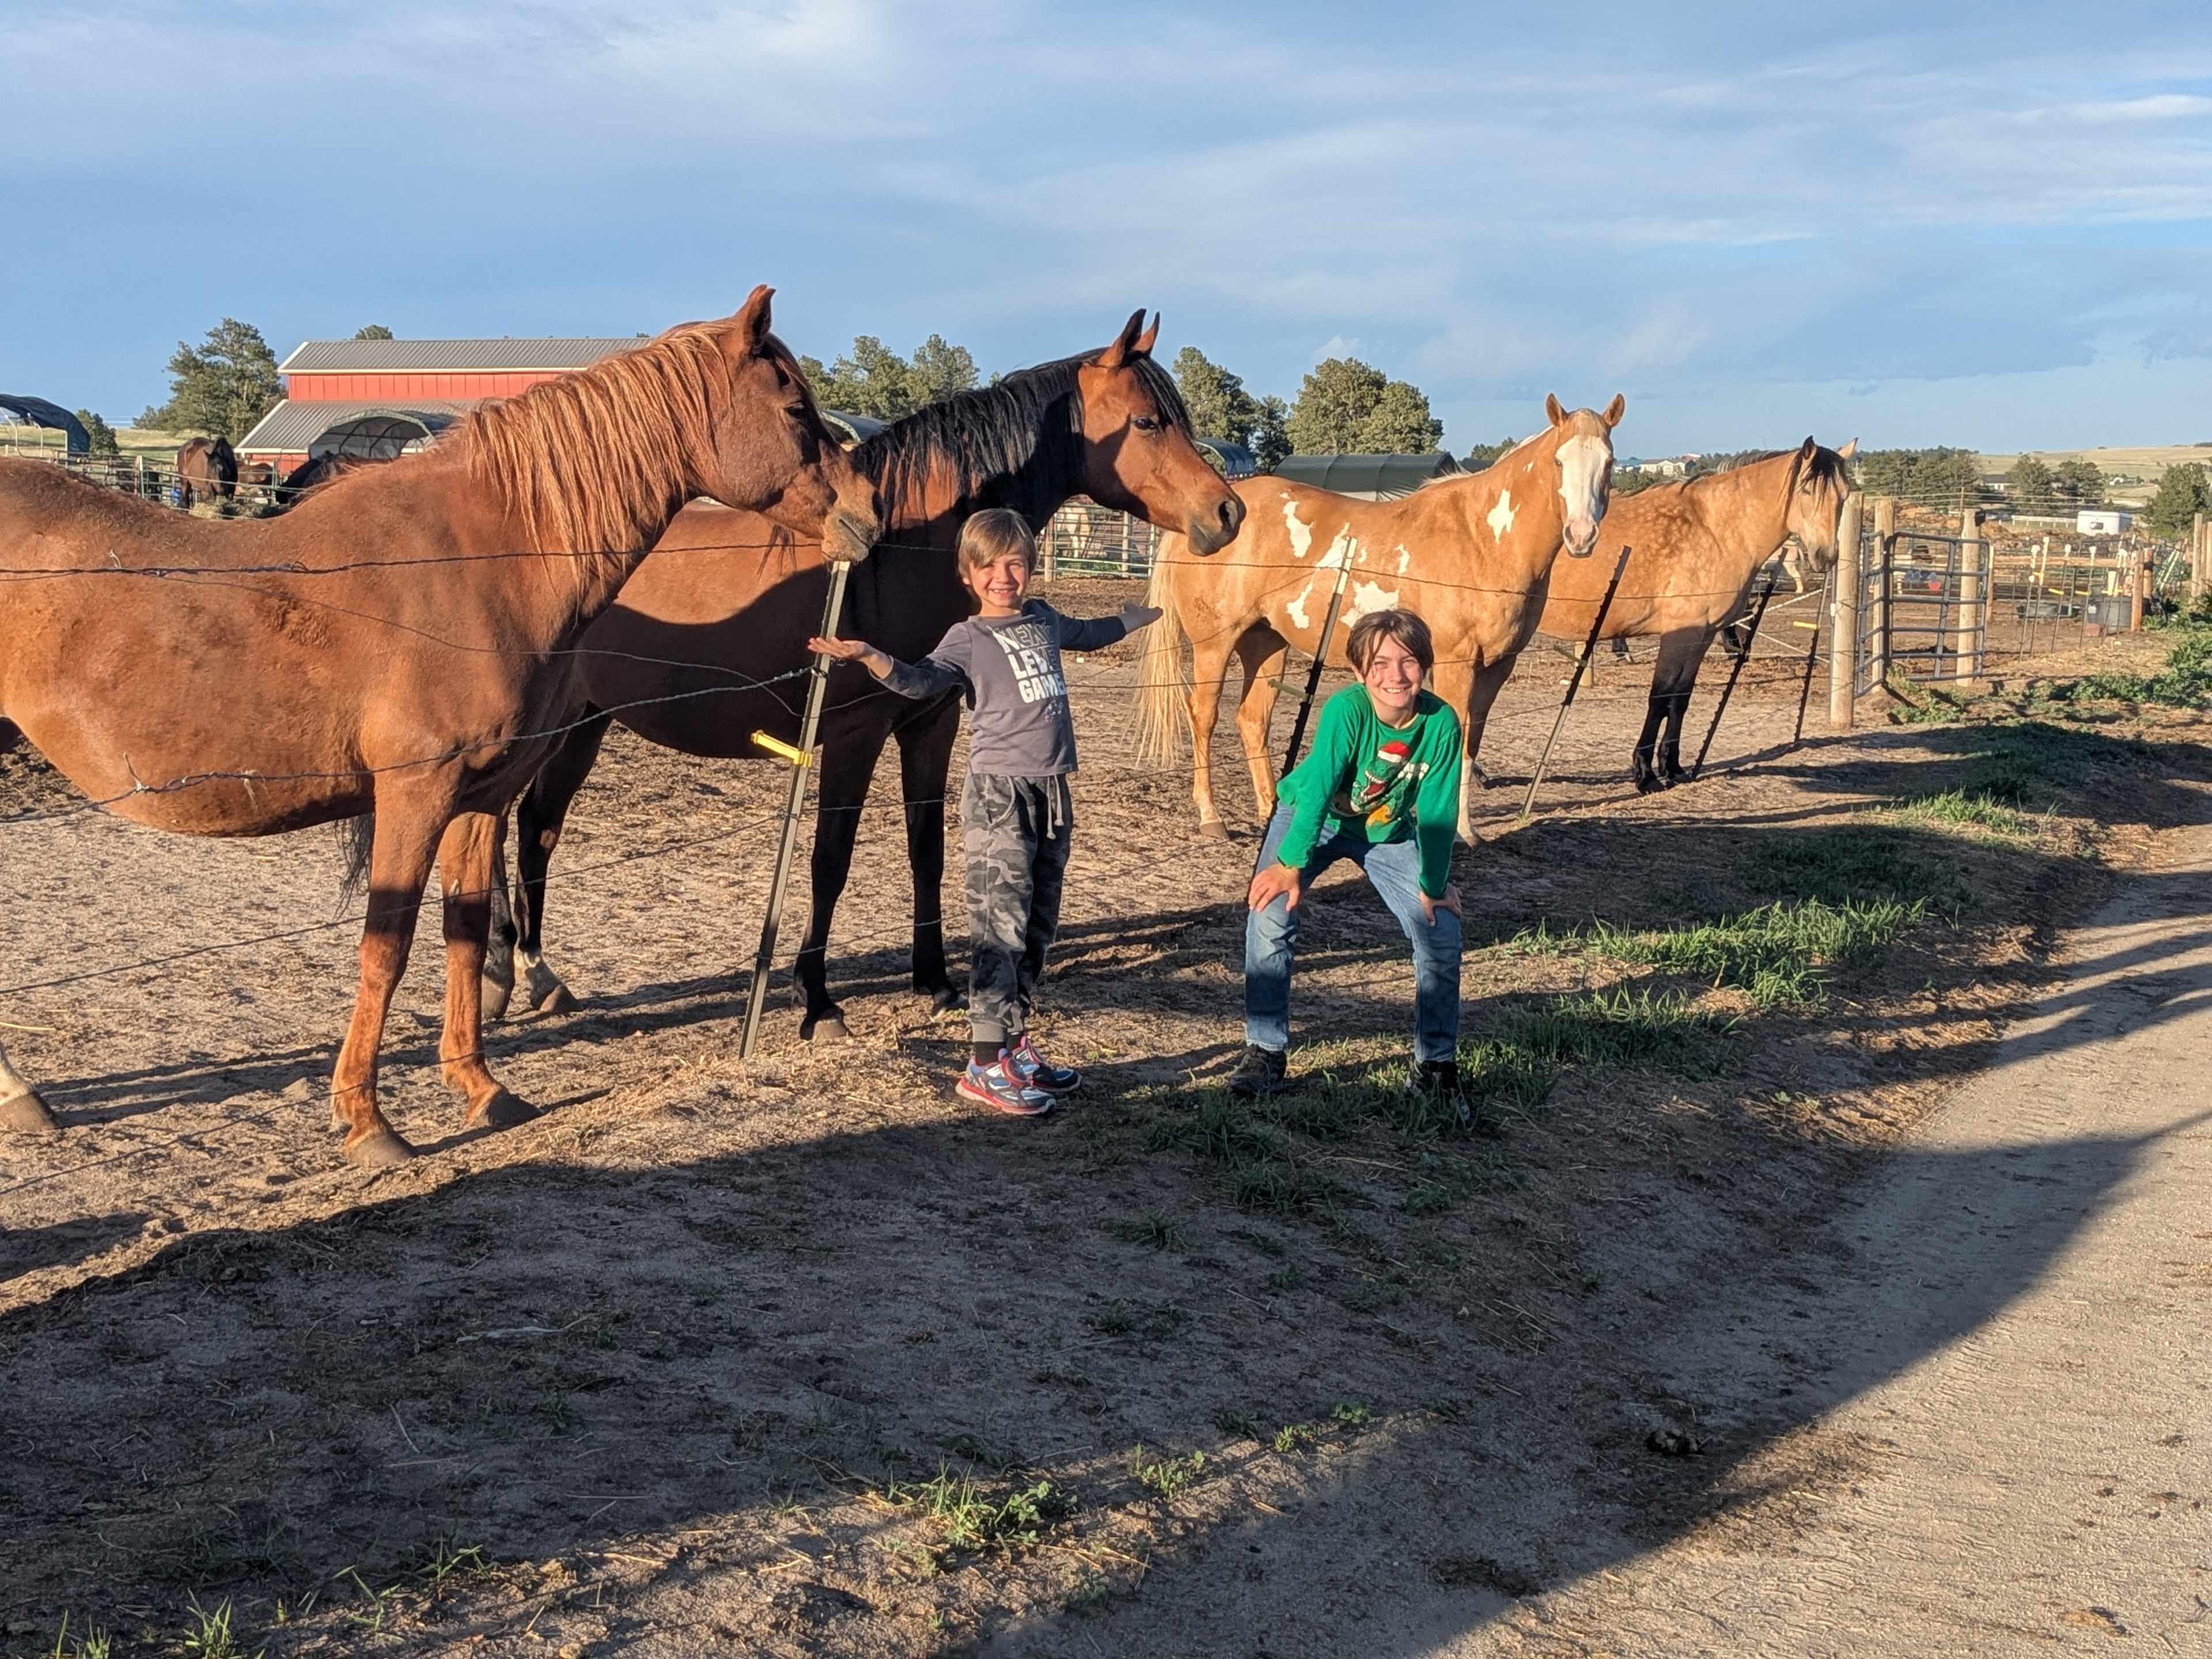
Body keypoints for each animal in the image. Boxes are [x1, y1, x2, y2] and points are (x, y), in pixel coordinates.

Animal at [175, 435, 237, 509]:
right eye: (209, 470)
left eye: (223, 469)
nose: (221, 491)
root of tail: (183, 448)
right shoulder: (211, 490)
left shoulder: (232, 491)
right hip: (185, 482)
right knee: (185, 501)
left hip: (203, 490)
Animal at [482, 309, 1246, 1041]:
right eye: (1147, 421)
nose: (1229, 512)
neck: (899, 549)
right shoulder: (854, 735)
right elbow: (830, 861)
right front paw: (817, 1001)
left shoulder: (931, 724)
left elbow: (927, 850)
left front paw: (935, 981)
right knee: (493, 833)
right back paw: (502, 975)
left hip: (586, 725)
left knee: (535, 828)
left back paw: (539, 974)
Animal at [1131, 393, 1625, 842]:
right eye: (1560, 462)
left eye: (1609, 462)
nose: (1582, 536)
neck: (1482, 539)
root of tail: (1207, 521)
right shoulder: (1456, 662)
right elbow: (1459, 739)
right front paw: (1457, 831)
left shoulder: (1497, 668)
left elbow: (1471, 746)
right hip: (1214, 644)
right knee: (1204, 716)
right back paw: (1211, 817)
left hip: (1266, 643)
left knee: (1252, 721)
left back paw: (1271, 810)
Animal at [1515, 438, 1857, 793]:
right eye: (1806, 490)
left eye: (1845, 493)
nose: (1825, 556)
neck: (1717, 530)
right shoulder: (1679, 635)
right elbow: (1659, 697)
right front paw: (1645, 775)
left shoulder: (1702, 636)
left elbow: (1681, 698)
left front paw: (1673, 768)